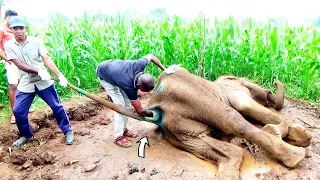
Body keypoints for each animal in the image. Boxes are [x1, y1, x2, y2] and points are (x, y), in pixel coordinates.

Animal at [141, 65, 312, 179]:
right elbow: (245, 107)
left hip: (180, 131)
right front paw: (289, 133)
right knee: (231, 119)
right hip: (187, 95)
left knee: (223, 149)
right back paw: (296, 156)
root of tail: (157, 107)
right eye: (249, 81)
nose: (273, 85)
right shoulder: (235, 91)